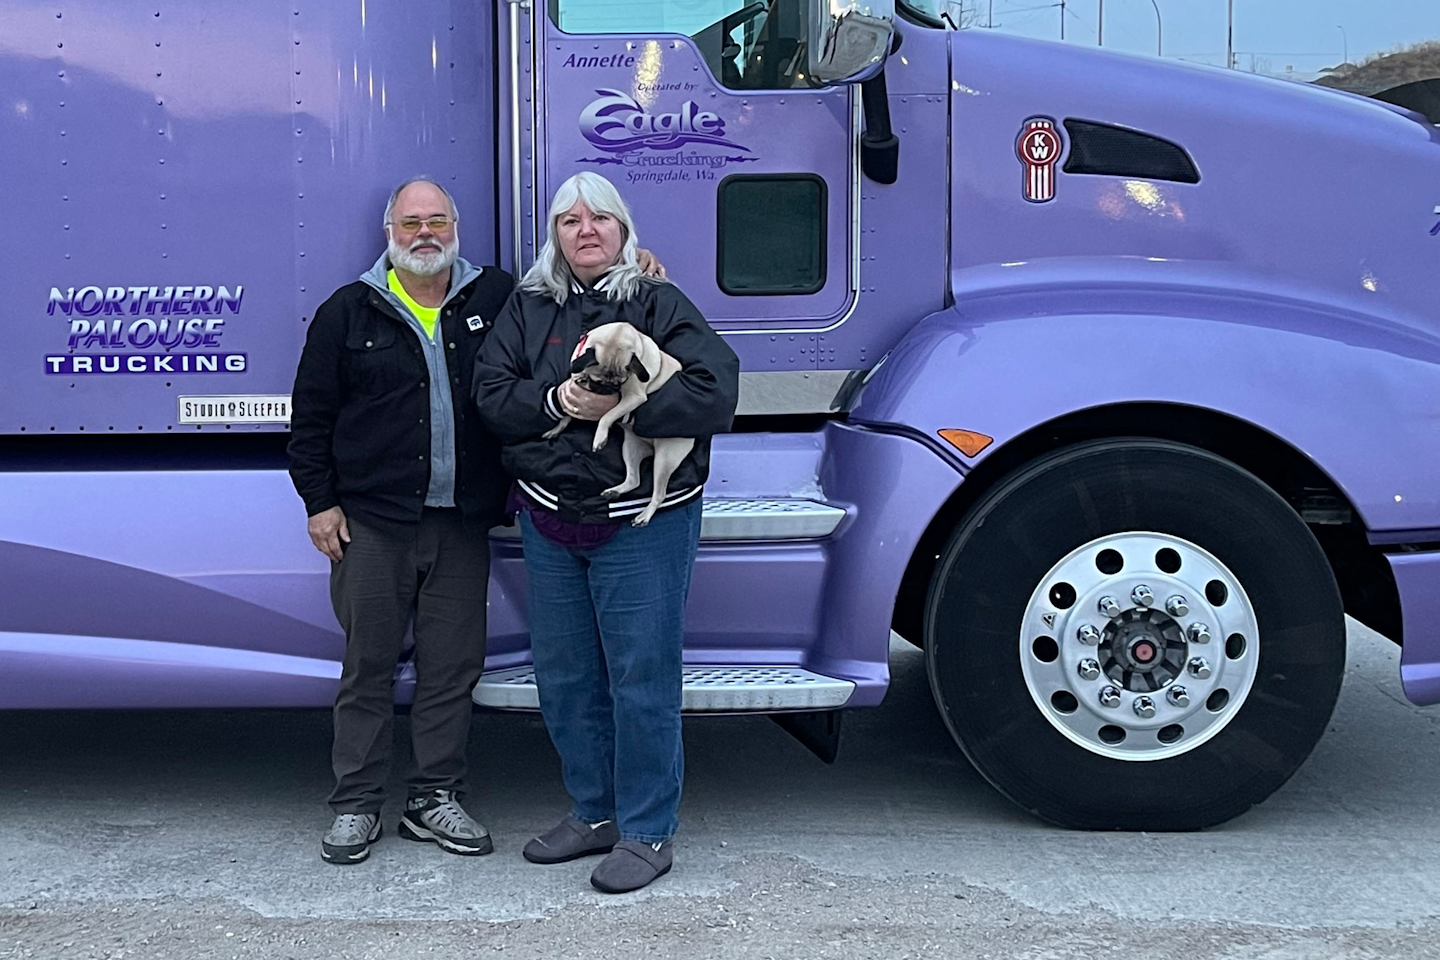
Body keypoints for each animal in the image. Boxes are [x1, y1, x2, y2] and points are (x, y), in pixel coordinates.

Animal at [541, 325, 696, 532]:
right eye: (597, 380)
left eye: (619, 383)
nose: (607, 389)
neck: (619, 333)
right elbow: (567, 413)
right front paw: (557, 428)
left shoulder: (633, 398)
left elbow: (607, 415)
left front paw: (599, 437)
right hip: (630, 448)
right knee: (633, 479)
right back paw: (615, 491)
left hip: (665, 458)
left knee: (659, 493)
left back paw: (644, 516)